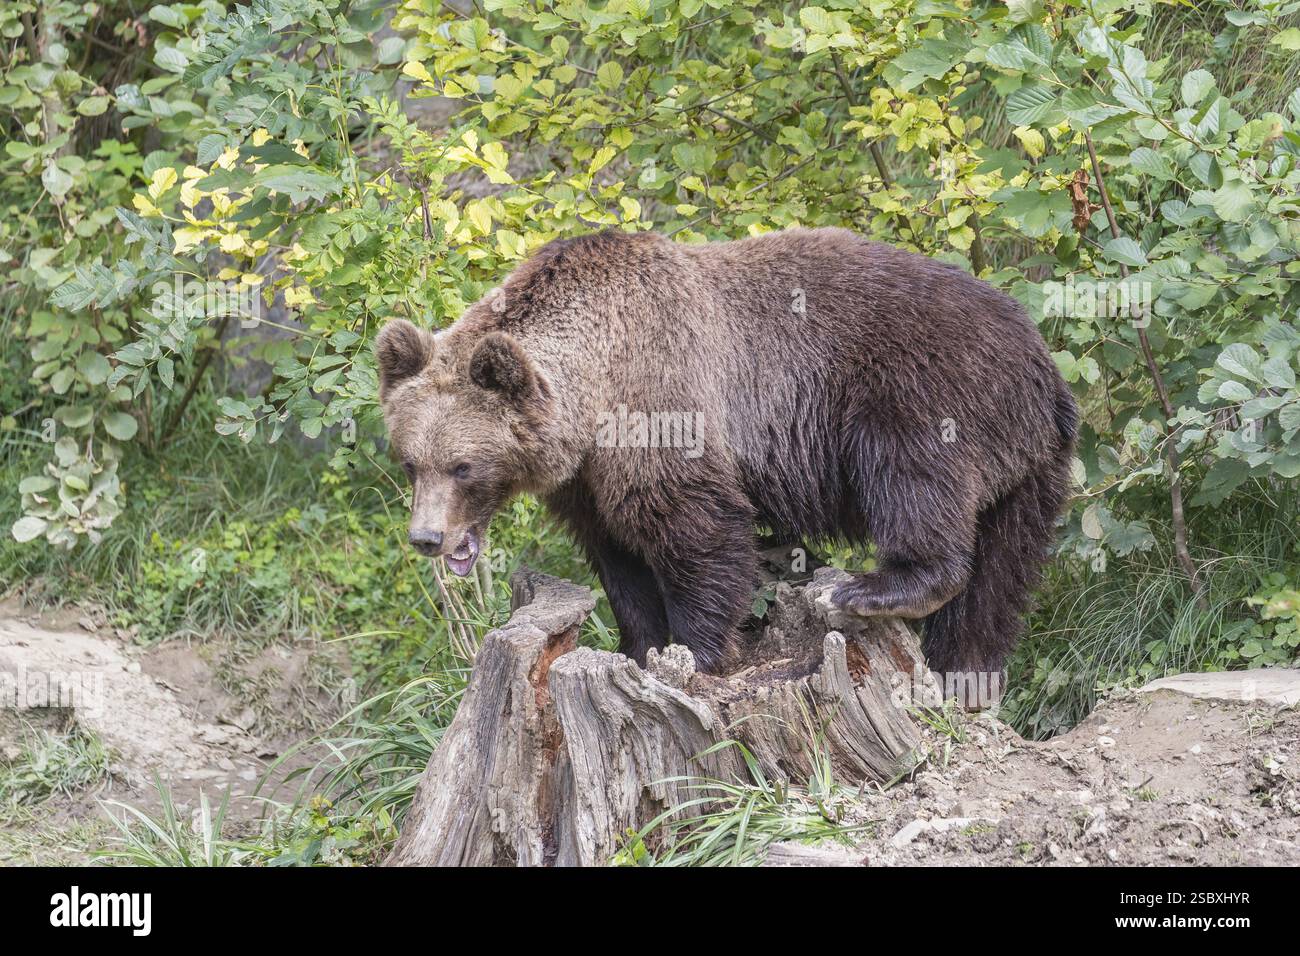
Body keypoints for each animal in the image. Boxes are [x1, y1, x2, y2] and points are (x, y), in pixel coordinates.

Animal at [376, 227, 1076, 685]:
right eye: (411, 462)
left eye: (463, 466)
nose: (427, 537)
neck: (594, 392)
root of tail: (1042, 364)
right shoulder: (587, 481)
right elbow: (618, 557)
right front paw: (639, 646)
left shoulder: (664, 404)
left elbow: (696, 528)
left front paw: (698, 651)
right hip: (1029, 467)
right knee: (1002, 571)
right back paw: (966, 668)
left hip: (923, 390)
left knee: (915, 481)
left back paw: (873, 589)